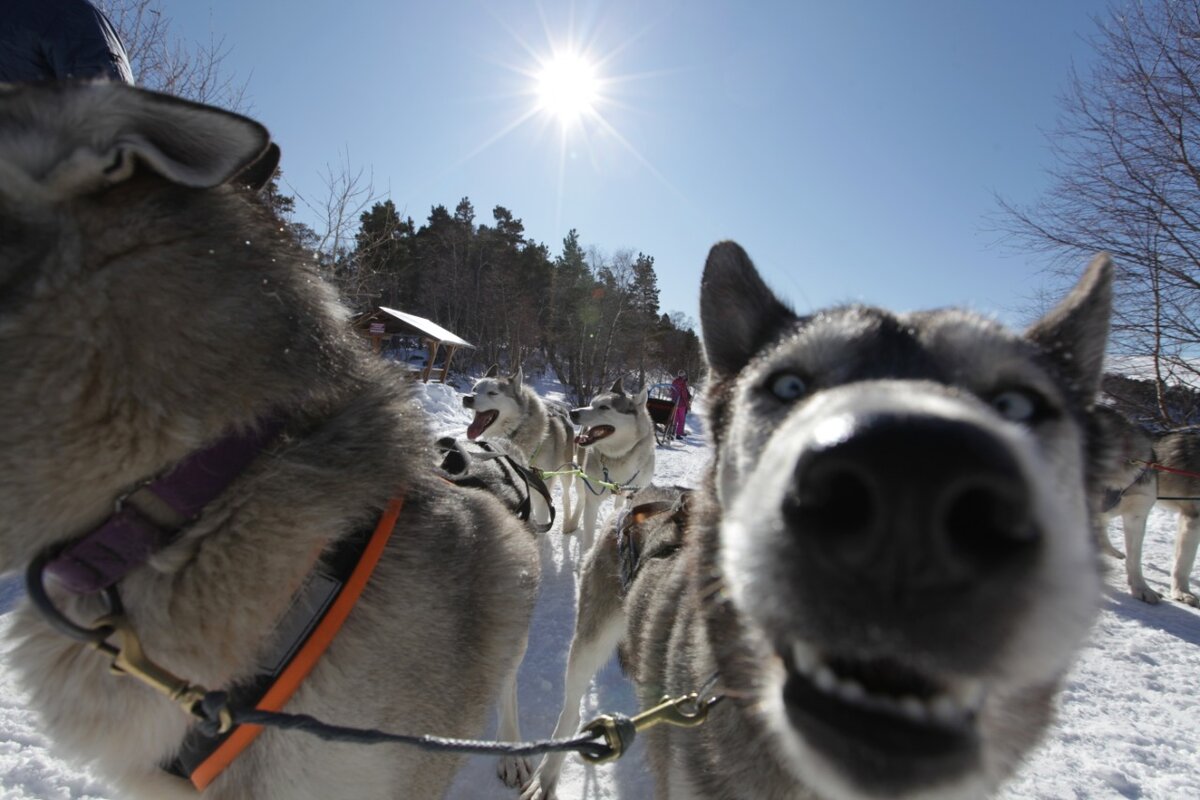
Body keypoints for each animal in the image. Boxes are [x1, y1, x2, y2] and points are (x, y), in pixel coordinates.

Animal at [460, 367, 573, 532]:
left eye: (492, 393)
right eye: (474, 389)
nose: (467, 398)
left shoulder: (542, 498)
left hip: (566, 472)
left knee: (567, 496)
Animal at [564, 381, 657, 556]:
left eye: (604, 407)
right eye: (592, 403)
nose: (572, 412)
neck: (619, 457)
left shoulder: (634, 494)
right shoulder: (592, 501)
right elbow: (588, 539)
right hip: (581, 478)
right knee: (581, 500)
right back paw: (572, 522)